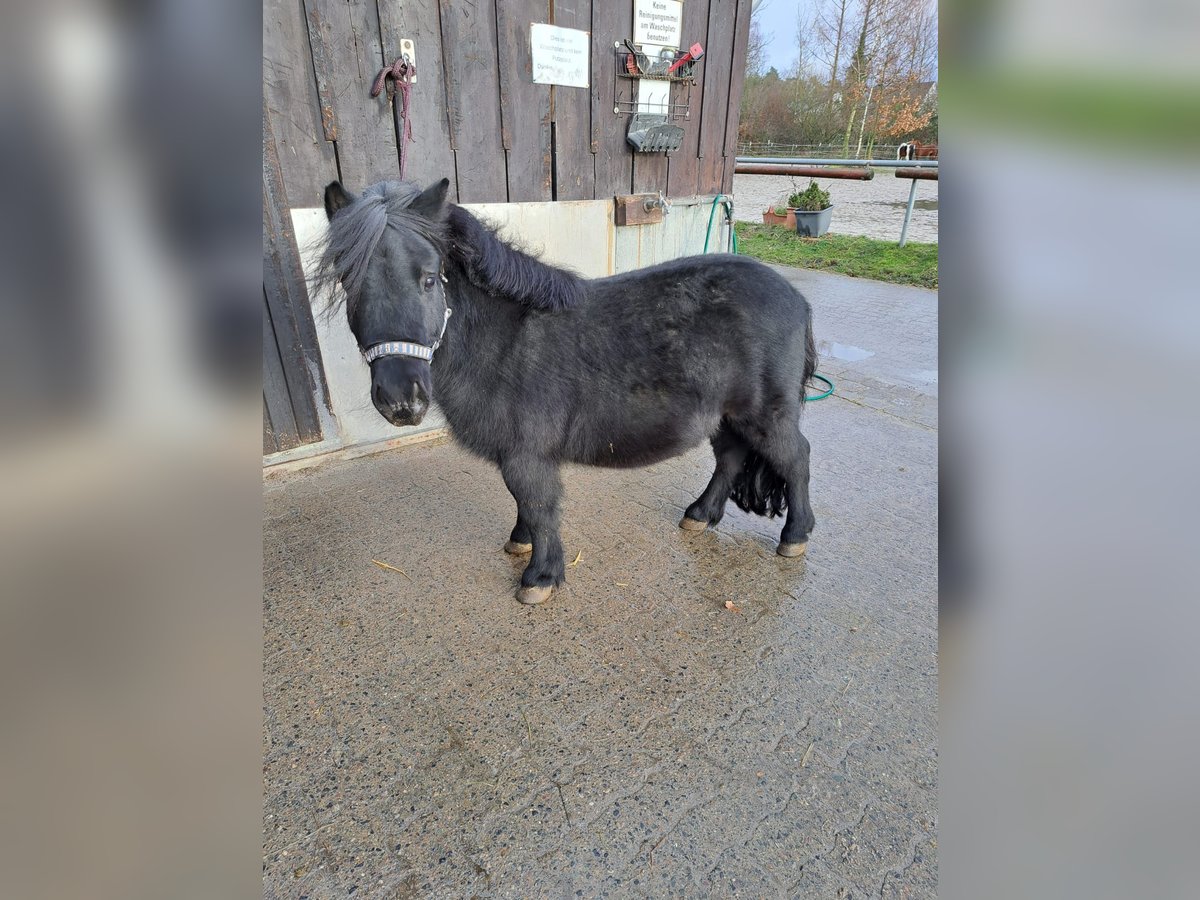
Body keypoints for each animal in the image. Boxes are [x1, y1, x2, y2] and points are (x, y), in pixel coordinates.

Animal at [319, 180, 820, 607]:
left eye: (428, 278)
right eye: (348, 282)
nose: (401, 399)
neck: (503, 341)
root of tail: (796, 298)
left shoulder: (527, 454)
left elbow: (539, 505)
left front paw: (540, 577)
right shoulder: (518, 453)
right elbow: (524, 504)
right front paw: (519, 543)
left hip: (767, 414)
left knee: (794, 458)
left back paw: (794, 537)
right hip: (727, 414)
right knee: (730, 457)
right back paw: (700, 515)